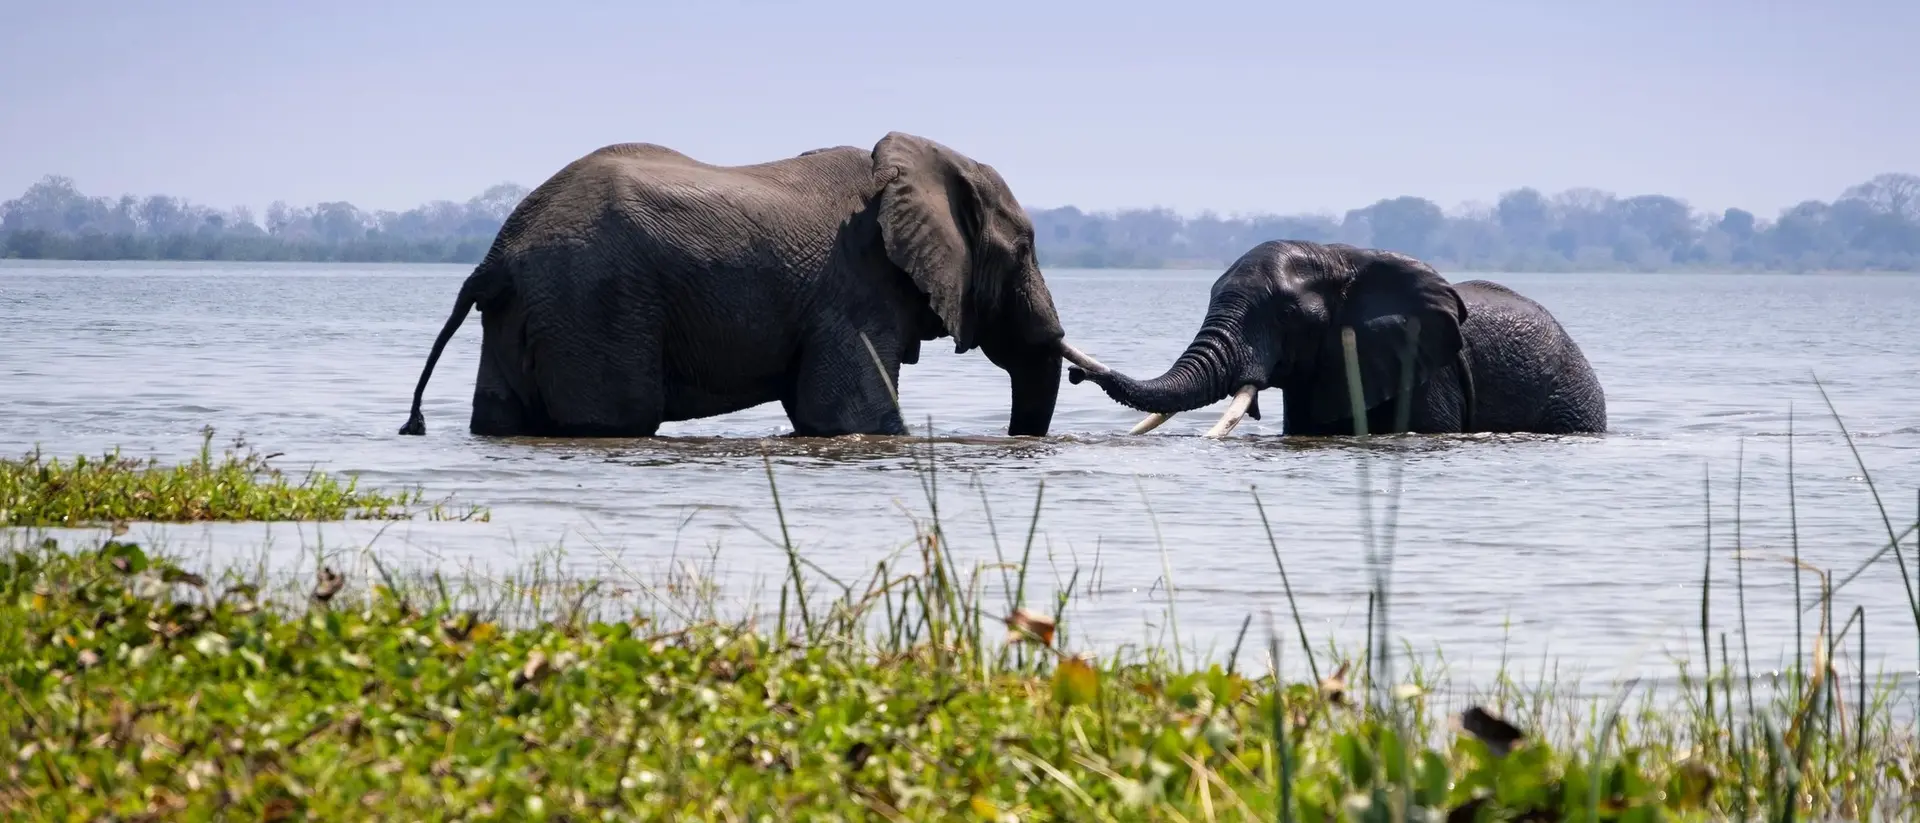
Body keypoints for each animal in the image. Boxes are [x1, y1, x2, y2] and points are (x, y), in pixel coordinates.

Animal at [397, 131, 1111, 438]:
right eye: (1026, 248)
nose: (1081, 373)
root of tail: (498, 255)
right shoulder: (852, 293)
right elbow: (853, 418)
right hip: (592, 306)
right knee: (617, 417)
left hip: (532, 312)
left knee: (501, 415)